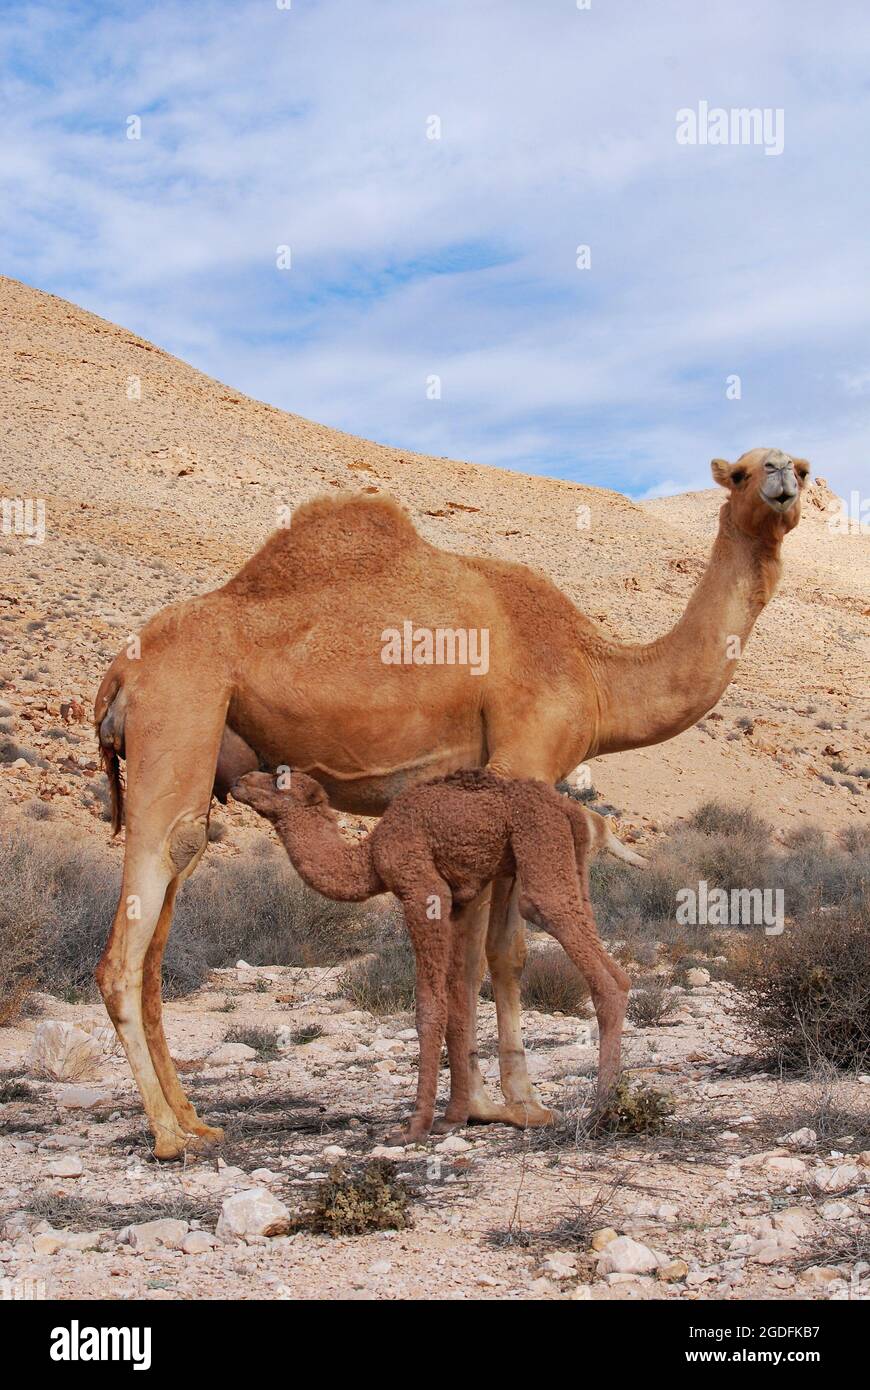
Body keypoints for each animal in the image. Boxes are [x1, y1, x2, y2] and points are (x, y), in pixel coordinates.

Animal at [231, 768, 630, 1143]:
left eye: (279, 779)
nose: (238, 781)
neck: (370, 857)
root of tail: (570, 809)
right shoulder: (457, 902)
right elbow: (458, 1003)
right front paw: (453, 1118)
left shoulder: (422, 890)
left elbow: (429, 1006)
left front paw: (414, 1127)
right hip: (571, 867)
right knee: (617, 972)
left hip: (540, 850)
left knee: (596, 970)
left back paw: (600, 1113)